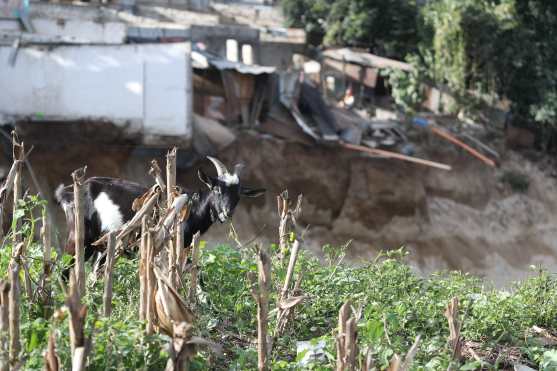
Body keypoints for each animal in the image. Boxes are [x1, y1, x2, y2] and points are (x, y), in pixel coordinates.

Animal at [55, 156, 264, 268]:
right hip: (79, 238)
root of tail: (68, 193)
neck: (190, 208)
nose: (226, 213)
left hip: (102, 246)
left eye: (238, 195)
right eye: (217, 189)